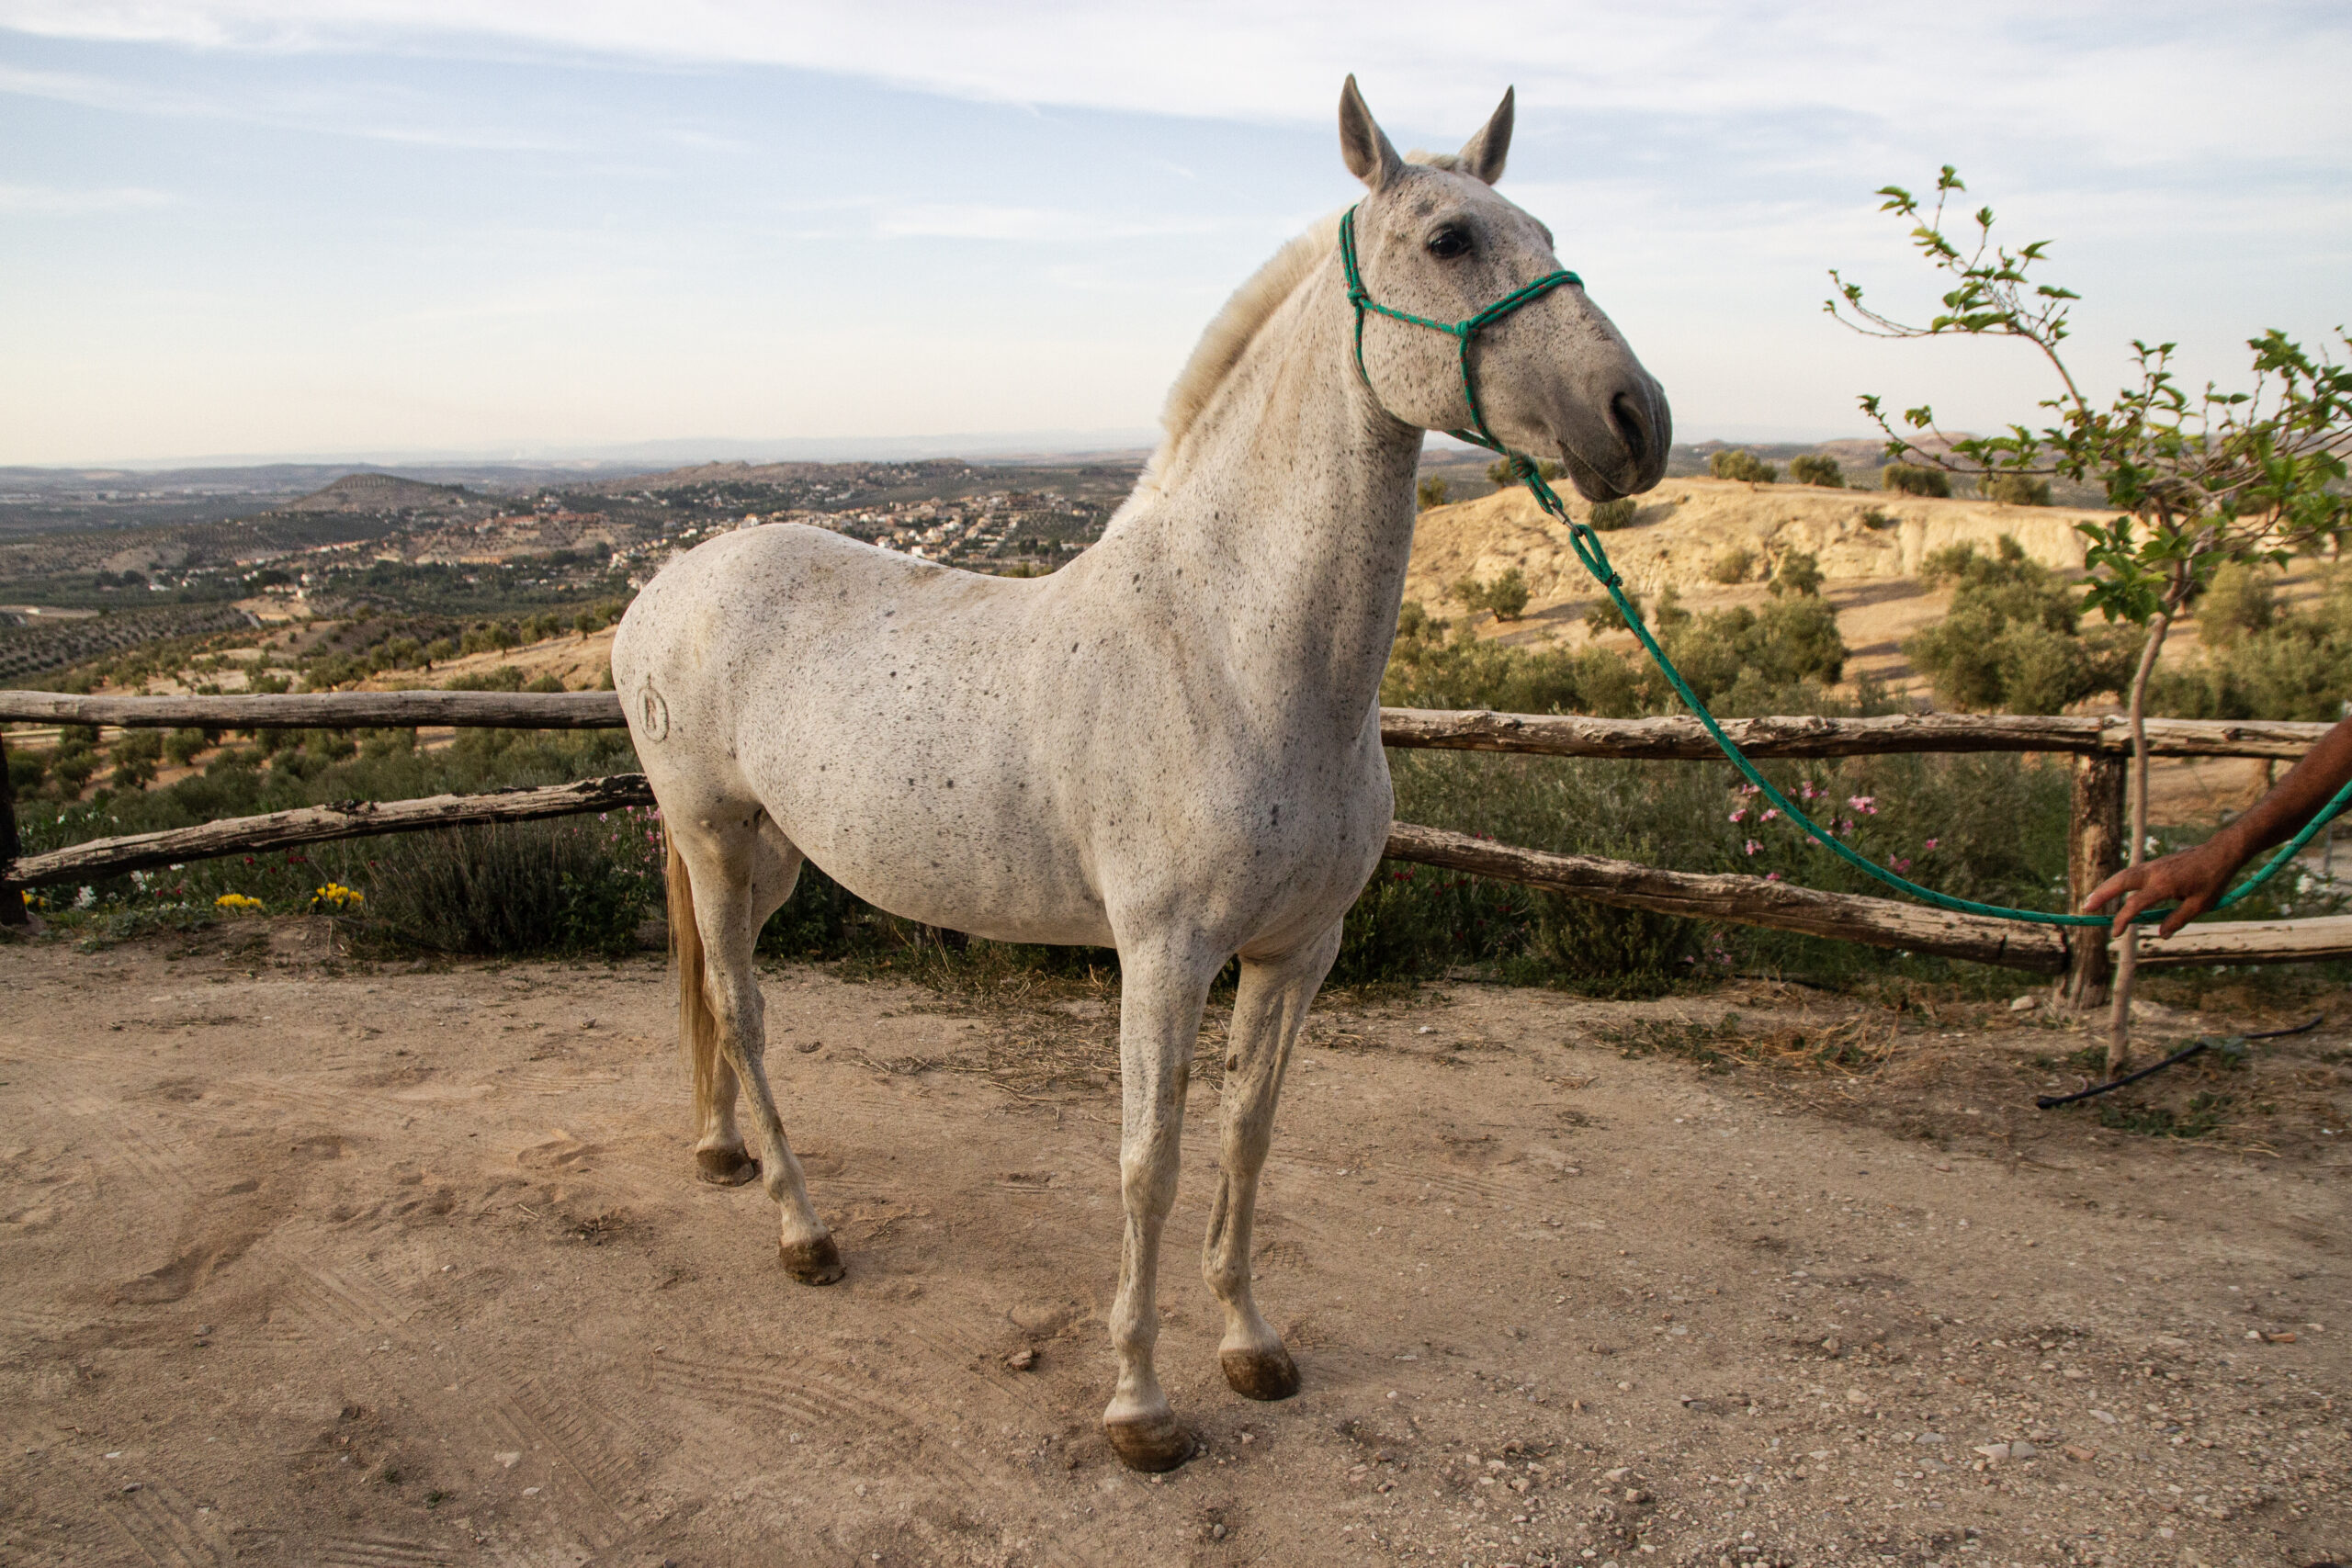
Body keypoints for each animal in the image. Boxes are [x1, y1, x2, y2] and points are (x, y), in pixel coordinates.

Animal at [616, 76, 1665, 1476]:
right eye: (1447, 239)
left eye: (1543, 228)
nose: (1636, 419)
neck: (1232, 649)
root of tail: (667, 584)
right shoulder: (1164, 954)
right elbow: (1146, 1163)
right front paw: (1140, 1406)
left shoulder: (1300, 950)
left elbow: (1246, 1136)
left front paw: (1253, 1347)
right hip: (717, 838)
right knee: (740, 1009)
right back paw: (802, 1228)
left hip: (775, 854)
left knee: (718, 1003)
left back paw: (724, 1154)